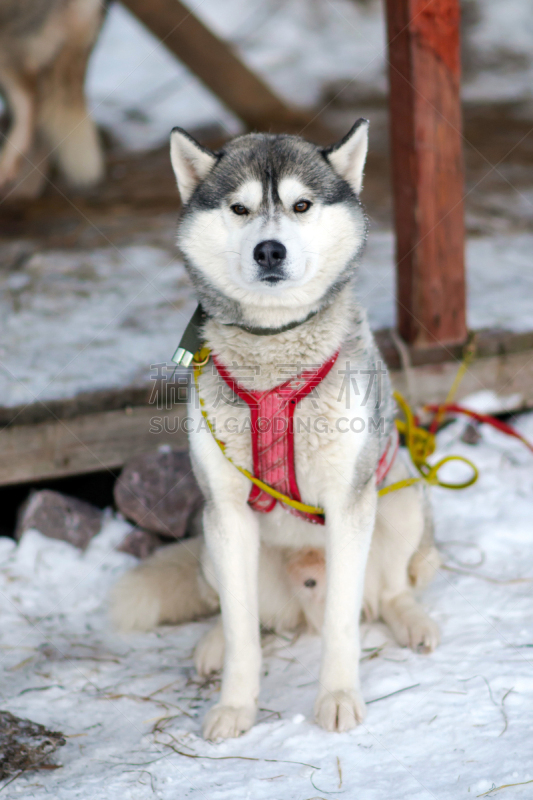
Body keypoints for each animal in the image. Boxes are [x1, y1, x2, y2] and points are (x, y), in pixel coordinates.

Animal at [110, 122, 438, 740]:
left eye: (300, 205)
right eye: (239, 209)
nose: (269, 249)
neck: (273, 353)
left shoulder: (348, 505)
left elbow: (342, 623)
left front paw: (338, 698)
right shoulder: (228, 511)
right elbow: (243, 631)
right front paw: (235, 707)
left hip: (398, 499)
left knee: (391, 590)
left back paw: (412, 620)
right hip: (210, 539)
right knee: (244, 614)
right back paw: (212, 644)